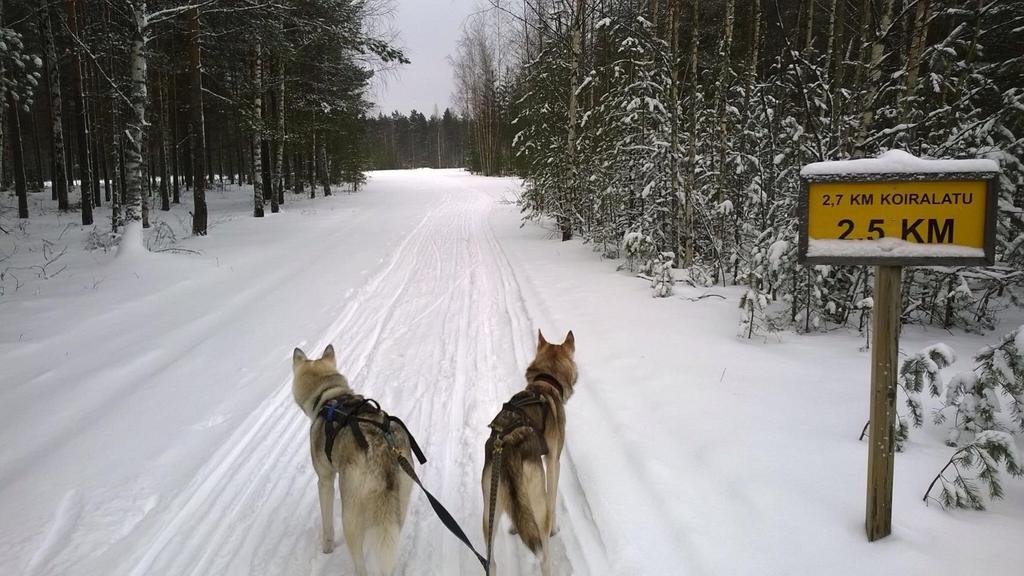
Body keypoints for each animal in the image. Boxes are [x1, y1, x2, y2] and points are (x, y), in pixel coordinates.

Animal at [292, 342, 411, 573]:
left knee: (360, 563)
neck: (328, 397)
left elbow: (327, 523)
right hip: (398, 509)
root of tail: (384, 452)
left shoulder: (325, 481)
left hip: (351, 516)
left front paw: (327, 548)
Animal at [481, 327, 577, 573]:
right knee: (543, 554)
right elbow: (553, 500)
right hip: (537, 503)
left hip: (489, 511)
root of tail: (508, 450)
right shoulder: (553, 462)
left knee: (490, 561)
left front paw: (515, 528)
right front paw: (555, 529)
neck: (545, 383)